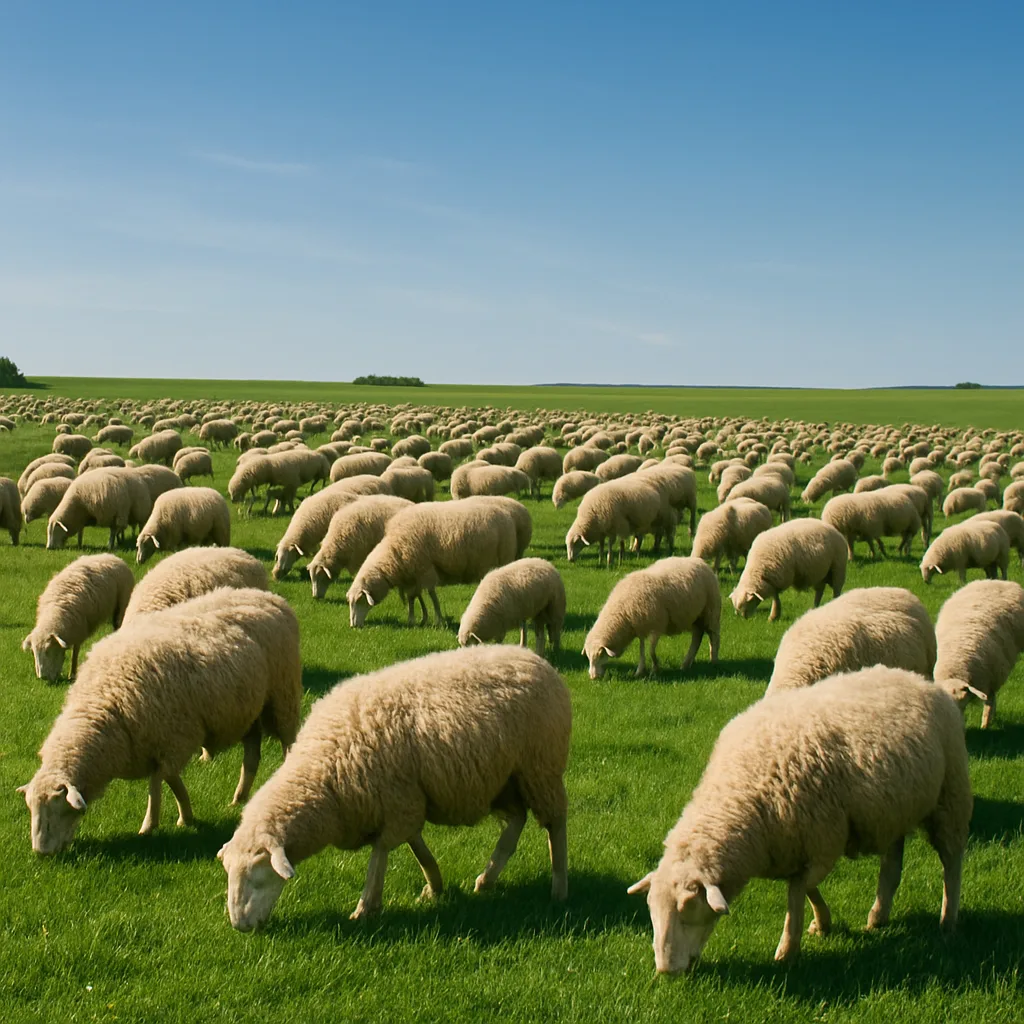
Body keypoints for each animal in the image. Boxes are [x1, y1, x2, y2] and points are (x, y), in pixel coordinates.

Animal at [18, 589, 302, 854]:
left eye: (57, 809)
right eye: (31, 810)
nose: (41, 853)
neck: (106, 706)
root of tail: (270, 597)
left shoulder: (174, 738)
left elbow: (163, 781)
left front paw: (169, 820)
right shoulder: (153, 744)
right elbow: (163, 781)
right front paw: (169, 820)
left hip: (282, 697)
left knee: (288, 743)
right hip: (249, 711)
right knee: (252, 755)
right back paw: (239, 798)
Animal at [217, 645, 570, 929]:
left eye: (257, 877)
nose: (239, 926)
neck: (324, 776)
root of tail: (538, 660)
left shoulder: (399, 802)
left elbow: (381, 853)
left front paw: (365, 907)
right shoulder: (403, 801)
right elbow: (416, 846)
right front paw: (434, 886)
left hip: (540, 769)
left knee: (555, 824)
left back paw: (558, 886)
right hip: (504, 779)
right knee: (516, 820)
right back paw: (487, 878)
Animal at [348, 496, 532, 628]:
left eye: (359, 600)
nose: (353, 626)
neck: (394, 553)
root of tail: (507, 517)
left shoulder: (426, 568)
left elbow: (432, 595)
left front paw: (438, 620)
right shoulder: (413, 574)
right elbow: (413, 597)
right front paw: (415, 619)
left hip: (502, 557)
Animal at [583, 557, 720, 678]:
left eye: (601, 655)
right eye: (588, 658)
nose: (593, 677)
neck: (623, 612)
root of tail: (701, 562)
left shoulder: (656, 626)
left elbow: (651, 651)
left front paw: (655, 670)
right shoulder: (640, 627)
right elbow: (642, 649)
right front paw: (640, 671)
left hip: (711, 610)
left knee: (713, 636)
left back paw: (713, 662)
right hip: (696, 616)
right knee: (697, 636)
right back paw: (686, 664)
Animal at [628, 666, 971, 973]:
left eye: (688, 910)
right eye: (652, 912)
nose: (665, 971)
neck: (742, 794)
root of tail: (921, 681)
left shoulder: (823, 841)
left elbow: (796, 894)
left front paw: (788, 951)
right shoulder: (797, 845)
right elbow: (805, 888)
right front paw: (822, 924)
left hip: (950, 796)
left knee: (951, 863)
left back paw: (948, 922)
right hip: (893, 811)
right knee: (892, 863)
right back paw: (878, 916)